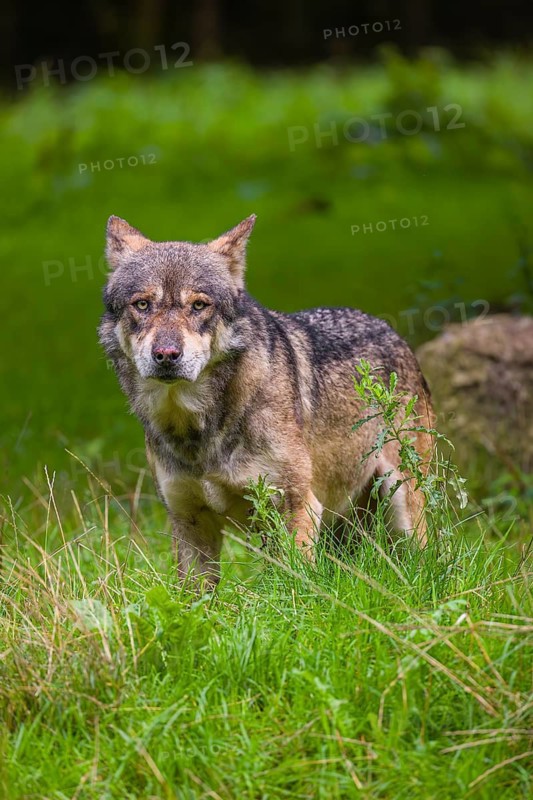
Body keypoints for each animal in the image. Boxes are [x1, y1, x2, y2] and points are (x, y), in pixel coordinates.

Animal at [99, 214, 434, 583]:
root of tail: (388, 329)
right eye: (142, 304)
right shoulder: (187, 521)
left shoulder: (297, 507)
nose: (166, 355)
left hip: (401, 506)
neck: (199, 430)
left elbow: (297, 586)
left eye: (199, 305)